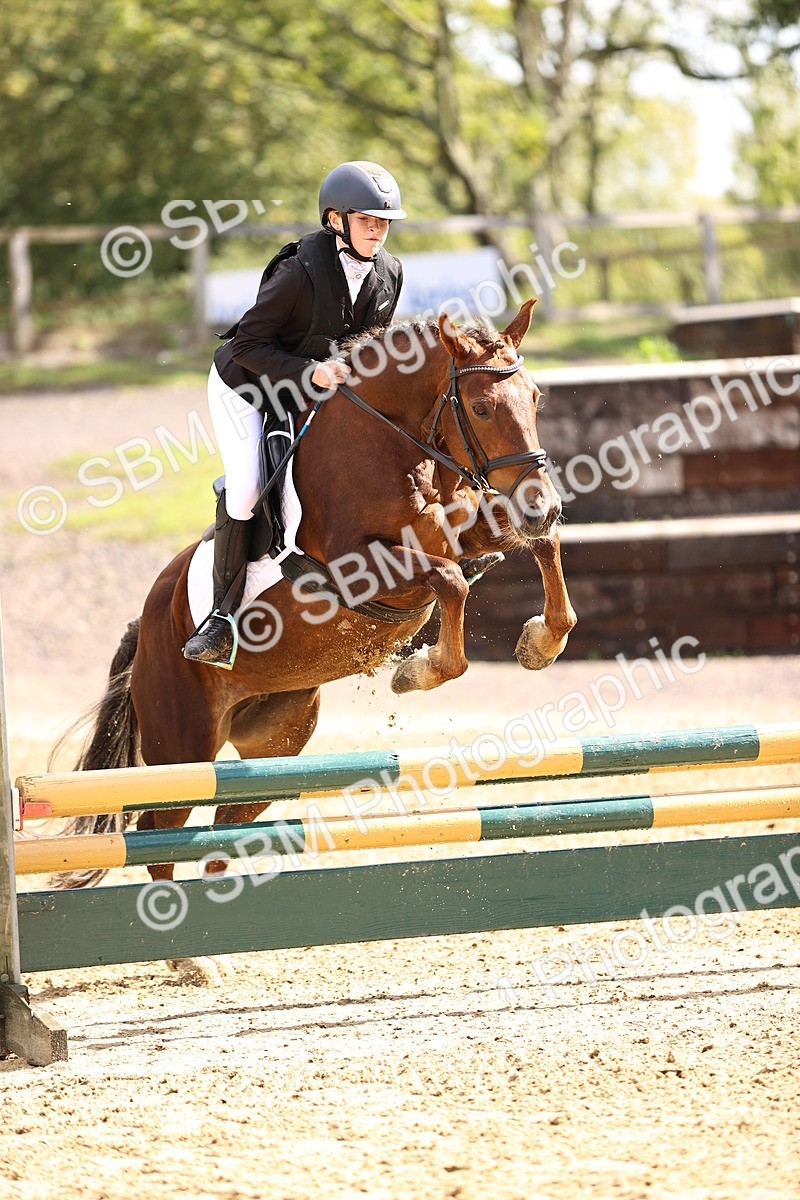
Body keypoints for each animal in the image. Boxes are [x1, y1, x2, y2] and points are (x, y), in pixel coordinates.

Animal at [62, 300, 576, 906]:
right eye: (480, 406)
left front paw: (541, 643)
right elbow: (452, 582)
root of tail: (145, 626)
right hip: (181, 744)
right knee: (156, 835)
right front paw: (417, 672)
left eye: (536, 398)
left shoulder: (470, 531)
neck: (396, 445)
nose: (542, 505)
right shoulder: (361, 570)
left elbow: (540, 547)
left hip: (275, 743)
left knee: (223, 831)